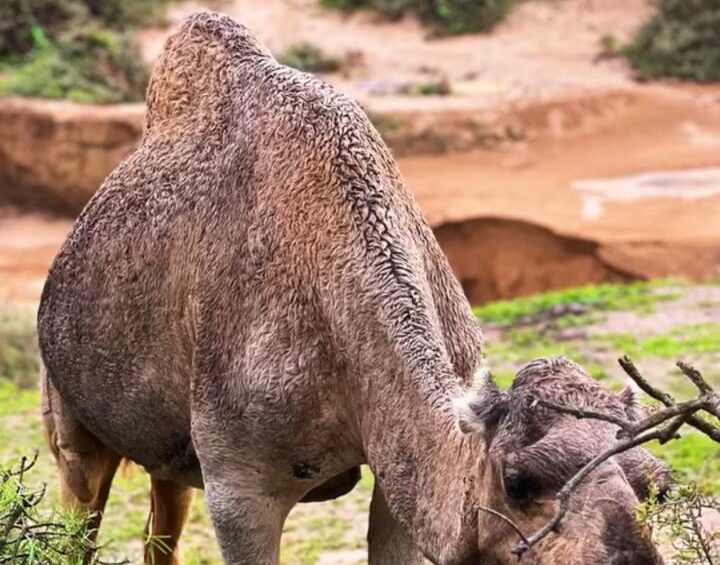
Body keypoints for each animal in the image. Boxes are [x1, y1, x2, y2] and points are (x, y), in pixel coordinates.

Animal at [38, 12, 668, 564]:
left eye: (654, 485)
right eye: (517, 481)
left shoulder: (395, 469)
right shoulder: (238, 485)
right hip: (69, 409)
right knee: (79, 505)